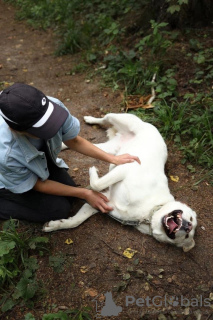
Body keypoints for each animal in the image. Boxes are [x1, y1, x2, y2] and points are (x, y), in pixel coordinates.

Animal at [43, 114, 198, 251]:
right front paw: (93, 172)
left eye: (187, 236)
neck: (148, 212)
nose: (188, 226)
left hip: (109, 149)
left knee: (77, 144)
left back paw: (60, 145)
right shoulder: (126, 168)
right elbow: (97, 184)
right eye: (190, 217)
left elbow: (76, 221)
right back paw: (89, 119)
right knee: (103, 119)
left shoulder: (101, 202)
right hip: (119, 119)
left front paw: (56, 225)